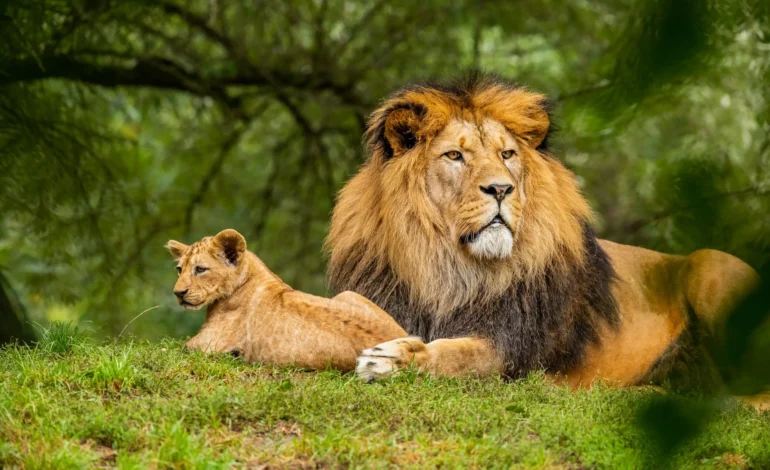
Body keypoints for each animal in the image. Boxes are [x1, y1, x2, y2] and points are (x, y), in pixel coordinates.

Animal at [165, 229, 407, 369]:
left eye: (200, 269)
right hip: (347, 293)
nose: (178, 293)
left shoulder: (206, 344)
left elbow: (172, 349)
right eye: (179, 269)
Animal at [324, 72, 764, 400]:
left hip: (711, 266)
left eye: (507, 155)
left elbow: (456, 356)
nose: (501, 189)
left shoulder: (512, 349)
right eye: (455, 156)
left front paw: (393, 360)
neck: (449, 267)